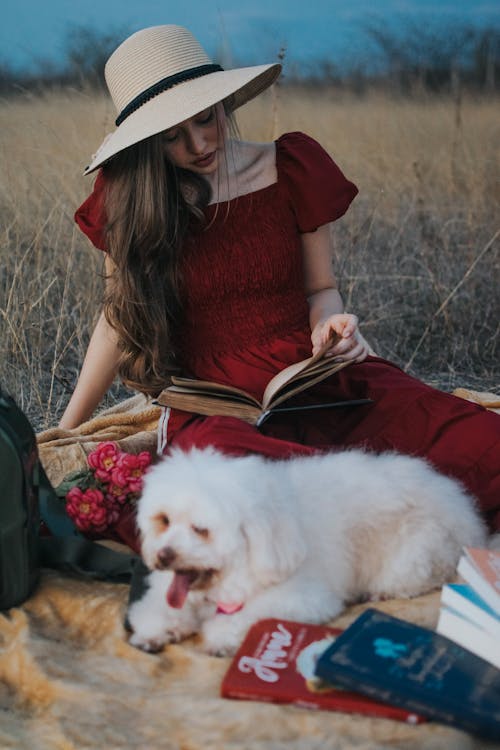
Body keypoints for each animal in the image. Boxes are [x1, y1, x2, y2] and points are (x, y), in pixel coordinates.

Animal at [127, 450, 486, 656]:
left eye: (201, 529)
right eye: (164, 520)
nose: (163, 555)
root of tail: (463, 511)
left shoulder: (300, 597)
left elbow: (247, 616)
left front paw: (221, 638)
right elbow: (159, 612)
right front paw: (156, 633)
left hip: (412, 554)